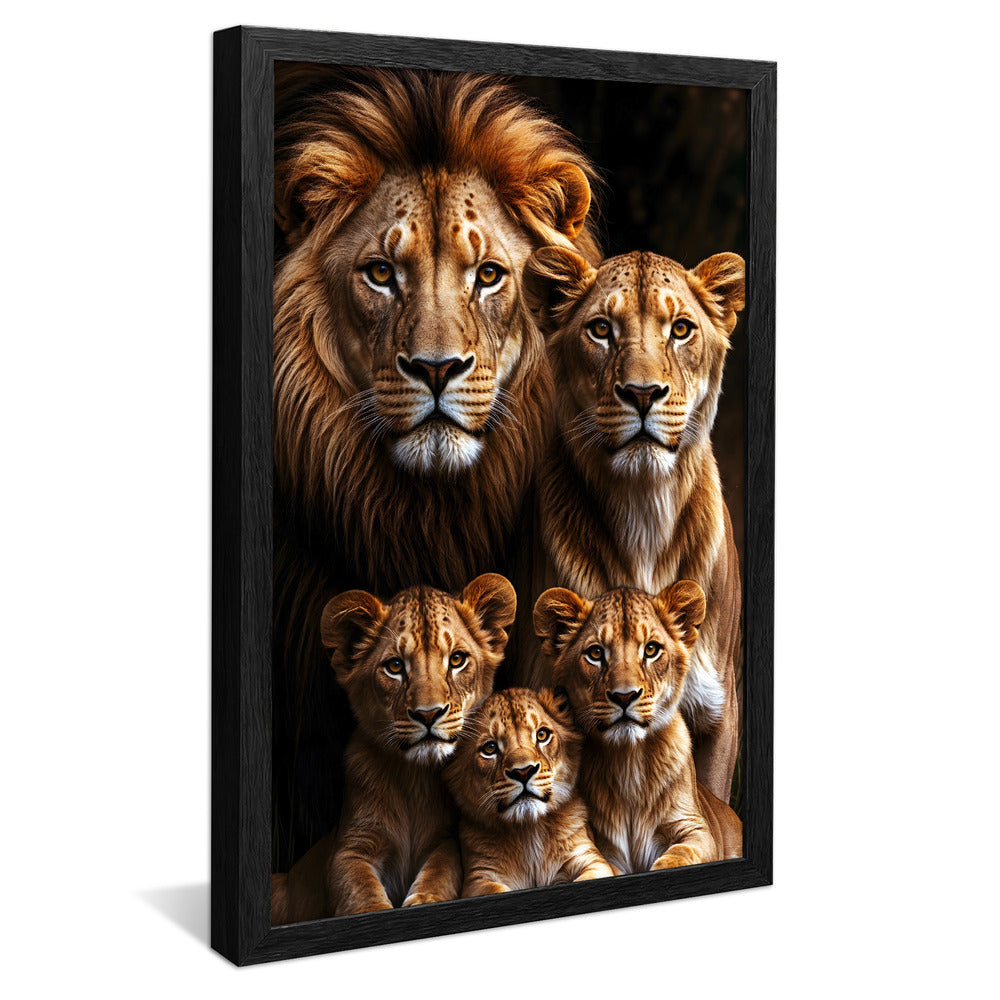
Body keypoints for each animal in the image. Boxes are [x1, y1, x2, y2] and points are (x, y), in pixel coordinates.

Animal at [270, 573, 516, 923]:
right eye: (395, 666)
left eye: (456, 659)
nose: (428, 714)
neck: (414, 779)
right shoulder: (350, 847)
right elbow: (357, 887)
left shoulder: (445, 839)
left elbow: (443, 869)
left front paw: (425, 900)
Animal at [445, 688, 613, 895]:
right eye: (490, 748)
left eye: (541, 735)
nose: (523, 772)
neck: (528, 831)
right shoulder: (478, 879)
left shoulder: (591, 859)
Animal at [534, 582, 741, 873]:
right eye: (596, 653)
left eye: (651, 650)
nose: (624, 696)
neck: (628, 760)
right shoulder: (597, 847)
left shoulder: (695, 828)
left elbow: (684, 852)